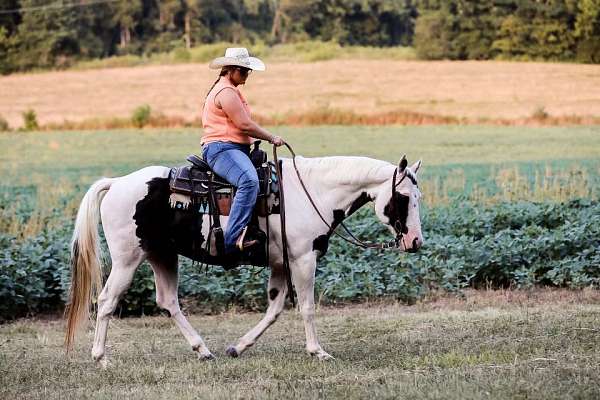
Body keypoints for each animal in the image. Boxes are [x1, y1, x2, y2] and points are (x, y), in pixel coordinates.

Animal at [64, 153, 422, 362]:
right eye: (404, 198)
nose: (416, 241)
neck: (313, 191)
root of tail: (116, 184)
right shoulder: (304, 259)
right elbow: (306, 307)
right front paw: (318, 352)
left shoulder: (281, 263)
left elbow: (275, 309)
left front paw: (238, 346)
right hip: (127, 260)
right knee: (107, 301)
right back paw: (100, 357)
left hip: (162, 255)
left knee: (168, 301)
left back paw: (204, 351)